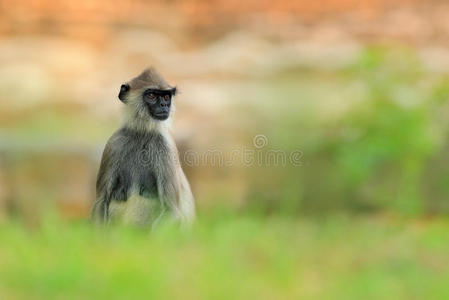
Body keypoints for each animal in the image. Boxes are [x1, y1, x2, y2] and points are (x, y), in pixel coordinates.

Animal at [91, 68, 194, 227]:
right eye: (152, 95)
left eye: (166, 97)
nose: (164, 106)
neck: (143, 133)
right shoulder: (114, 143)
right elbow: (101, 202)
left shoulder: (165, 147)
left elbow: (171, 211)